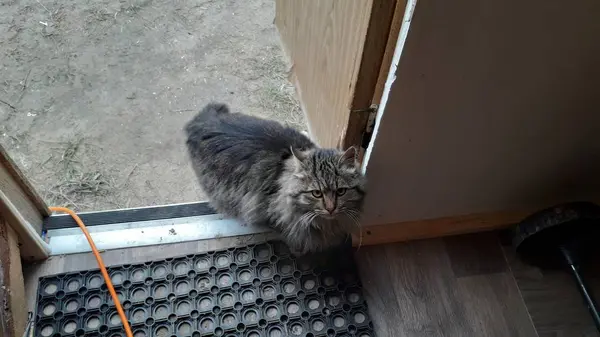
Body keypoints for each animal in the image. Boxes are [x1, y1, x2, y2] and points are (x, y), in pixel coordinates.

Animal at [185, 103, 366, 255]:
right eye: (316, 193)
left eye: (341, 191)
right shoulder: (272, 216)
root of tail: (202, 119)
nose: (330, 208)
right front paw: (298, 249)